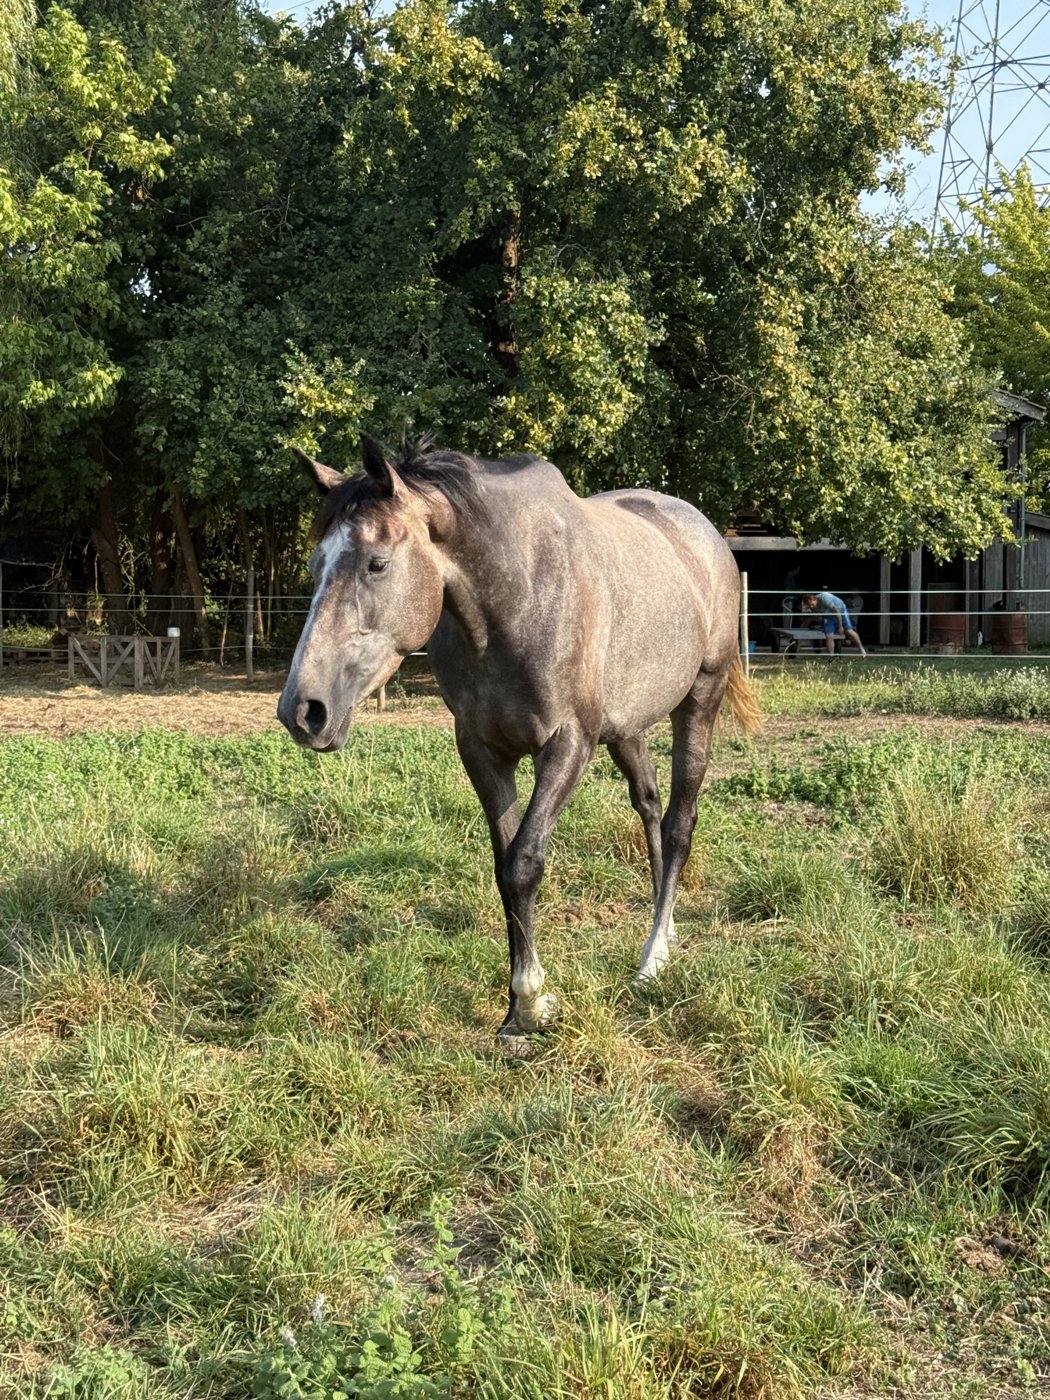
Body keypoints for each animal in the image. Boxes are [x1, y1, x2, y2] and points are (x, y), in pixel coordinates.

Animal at [278, 434, 761, 1053]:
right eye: (315, 565)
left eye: (376, 563)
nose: (302, 711)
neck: (518, 596)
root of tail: (705, 536)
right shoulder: (482, 750)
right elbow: (503, 867)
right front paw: (513, 1013)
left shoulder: (567, 745)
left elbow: (524, 864)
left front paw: (532, 1004)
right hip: (626, 724)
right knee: (650, 804)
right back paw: (665, 925)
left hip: (700, 698)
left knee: (680, 821)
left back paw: (653, 959)